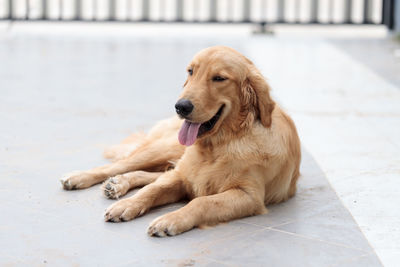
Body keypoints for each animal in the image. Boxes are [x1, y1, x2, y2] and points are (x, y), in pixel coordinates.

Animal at [61, 45, 300, 237]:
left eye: (219, 78)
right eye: (191, 71)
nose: (181, 106)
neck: (217, 146)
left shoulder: (248, 195)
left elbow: (201, 201)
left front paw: (171, 219)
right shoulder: (183, 177)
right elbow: (152, 190)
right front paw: (127, 205)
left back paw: (118, 183)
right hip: (165, 149)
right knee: (121, 165)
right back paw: (81, 177)